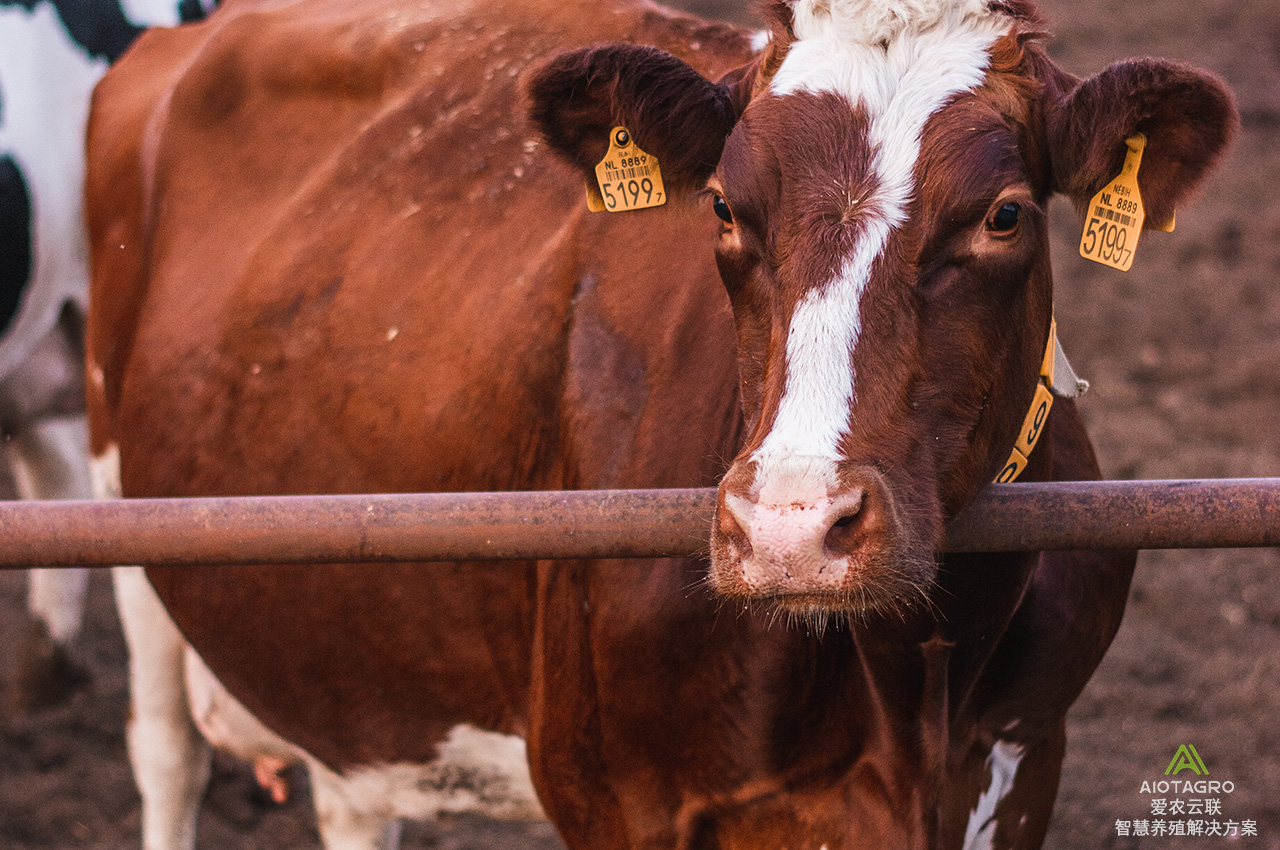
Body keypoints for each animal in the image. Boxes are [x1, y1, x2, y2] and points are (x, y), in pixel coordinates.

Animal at [85, 0, 1233, 844]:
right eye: (723, 206)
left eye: (1002, 214)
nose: (789, 531)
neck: (911, 689)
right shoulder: (611, 789)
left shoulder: (1025, 750)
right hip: (125, 505)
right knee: (164, 753)